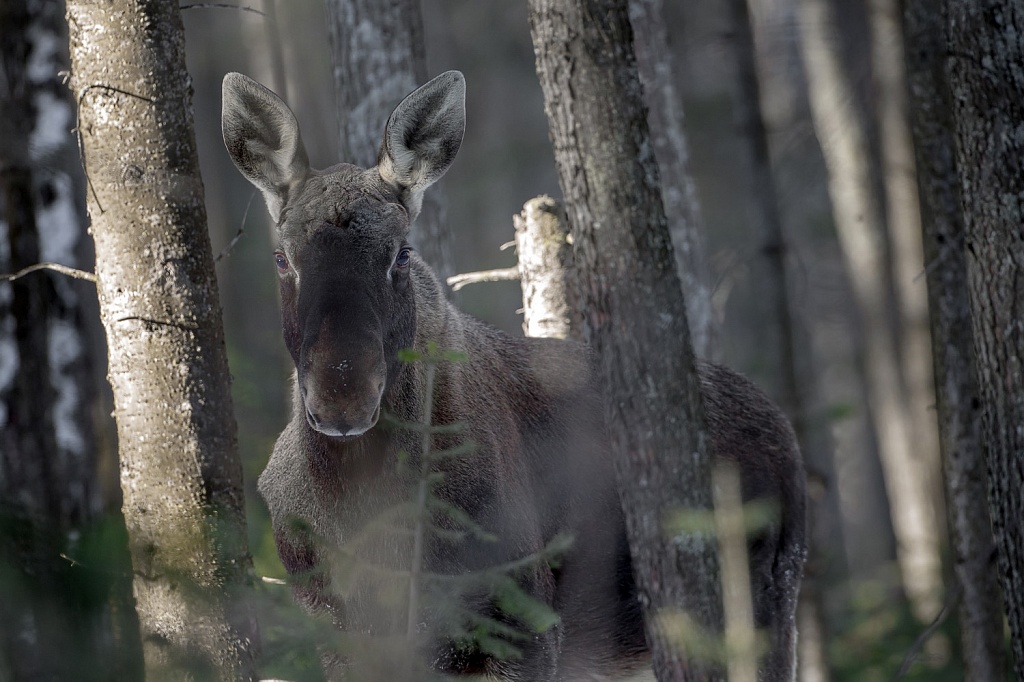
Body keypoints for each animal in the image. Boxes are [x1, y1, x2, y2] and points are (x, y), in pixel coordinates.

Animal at [224, 70, 806, 679]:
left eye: (402, 253)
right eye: (282, 258)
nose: (343, 398)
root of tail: (786, 434)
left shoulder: (520, 623)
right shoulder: (336, 628)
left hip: (761, 611)